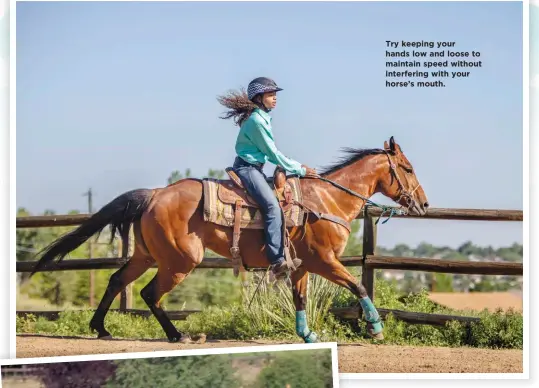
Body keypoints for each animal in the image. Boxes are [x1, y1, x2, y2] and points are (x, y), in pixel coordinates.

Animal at [31, 136, 430, 342]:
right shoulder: (324, 262)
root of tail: (155, 194)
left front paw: (307, 336)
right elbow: (359, 286)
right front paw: (376, 329)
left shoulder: (302, 266)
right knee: (148, 293)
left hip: (147, 256)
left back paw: (101, 328)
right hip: (180, 261)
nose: (423, 203)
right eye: (408, 168)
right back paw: (178, 336)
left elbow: (300, 300)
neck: (326, 201)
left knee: (117, 280)